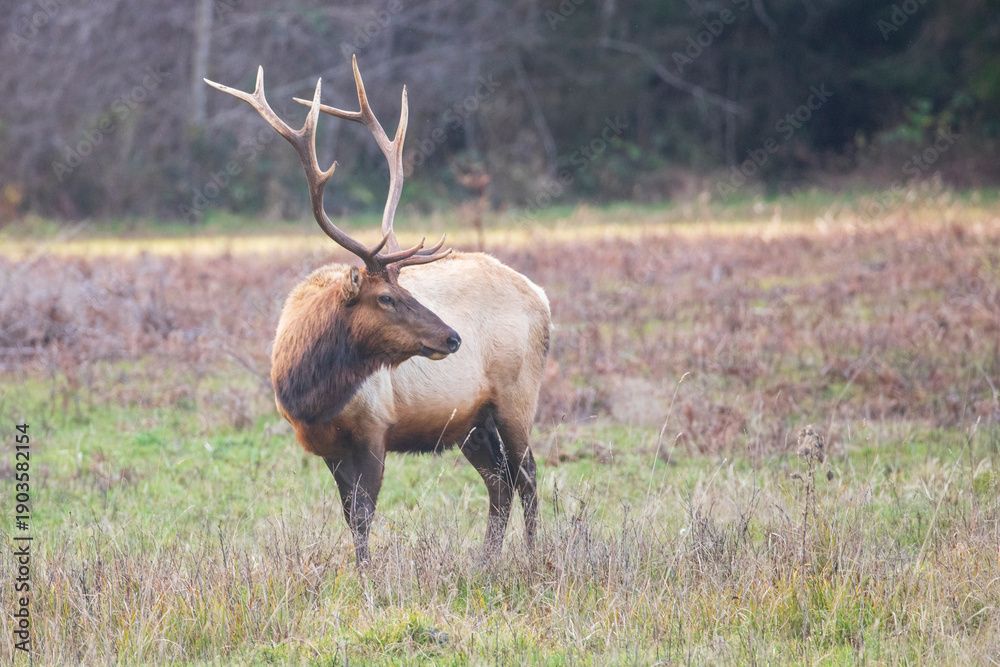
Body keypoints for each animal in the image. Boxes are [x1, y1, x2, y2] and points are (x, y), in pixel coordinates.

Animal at [205, 58, 550, 565]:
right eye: (387, 297)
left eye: (402, 288)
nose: (453, 337)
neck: (311, 393)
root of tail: (542, 298)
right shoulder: (327, 445)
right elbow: (351, 515)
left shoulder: (374, 427)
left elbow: (365, 513)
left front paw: (367, 573)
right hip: (472, 421)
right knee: (500, 482)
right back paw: (487, 559)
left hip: (516, 397)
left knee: (528, 477)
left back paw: (530, 555)